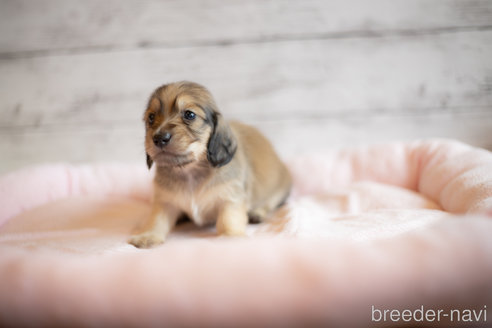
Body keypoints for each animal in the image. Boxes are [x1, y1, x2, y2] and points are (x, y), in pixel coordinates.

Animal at [130, 80, 292, 247]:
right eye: (151, 117)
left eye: (189, 114)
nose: (159, 138)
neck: (189, 171)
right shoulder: (164, 201)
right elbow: (157, 220)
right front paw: (149, 235)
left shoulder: (230, 198)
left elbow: (228, 219)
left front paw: (230, 236)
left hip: (279, 189)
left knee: (270, 203)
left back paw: (257, 213)